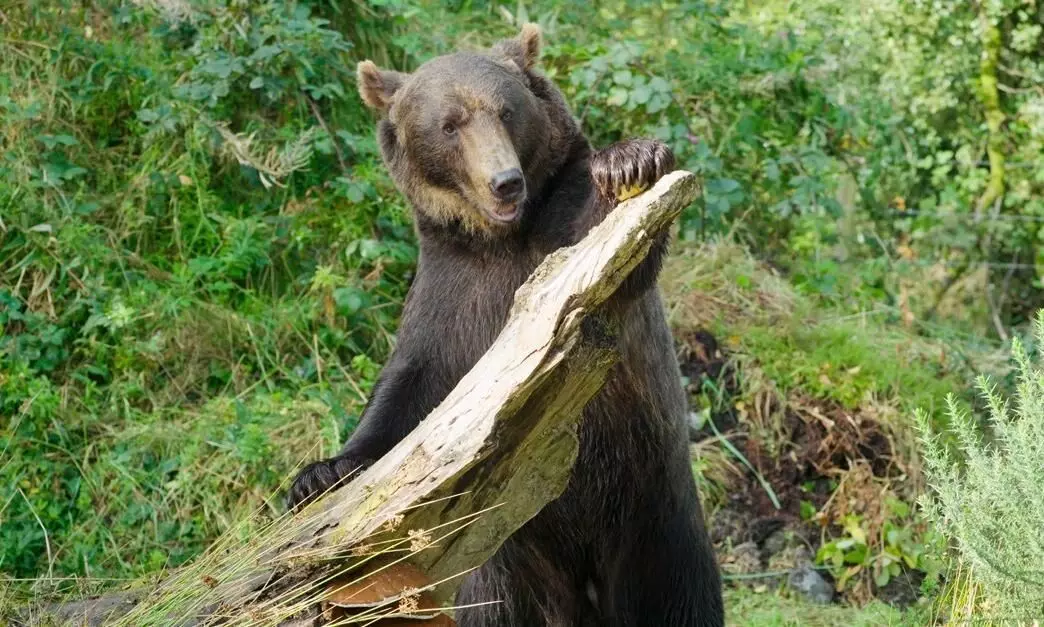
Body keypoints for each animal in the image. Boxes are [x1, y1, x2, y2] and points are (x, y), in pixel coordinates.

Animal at [287, 24, 724, 627]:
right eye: (449, 124)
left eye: (506, 110)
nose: (505, 182)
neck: (502, 240)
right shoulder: (453, 293)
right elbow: (408, 389)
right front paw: (320, 473)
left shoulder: (559, 244)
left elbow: (611, 254)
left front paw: (630, 161)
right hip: (510, 560)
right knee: (497, 605)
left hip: (654, 518)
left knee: (677, 598)